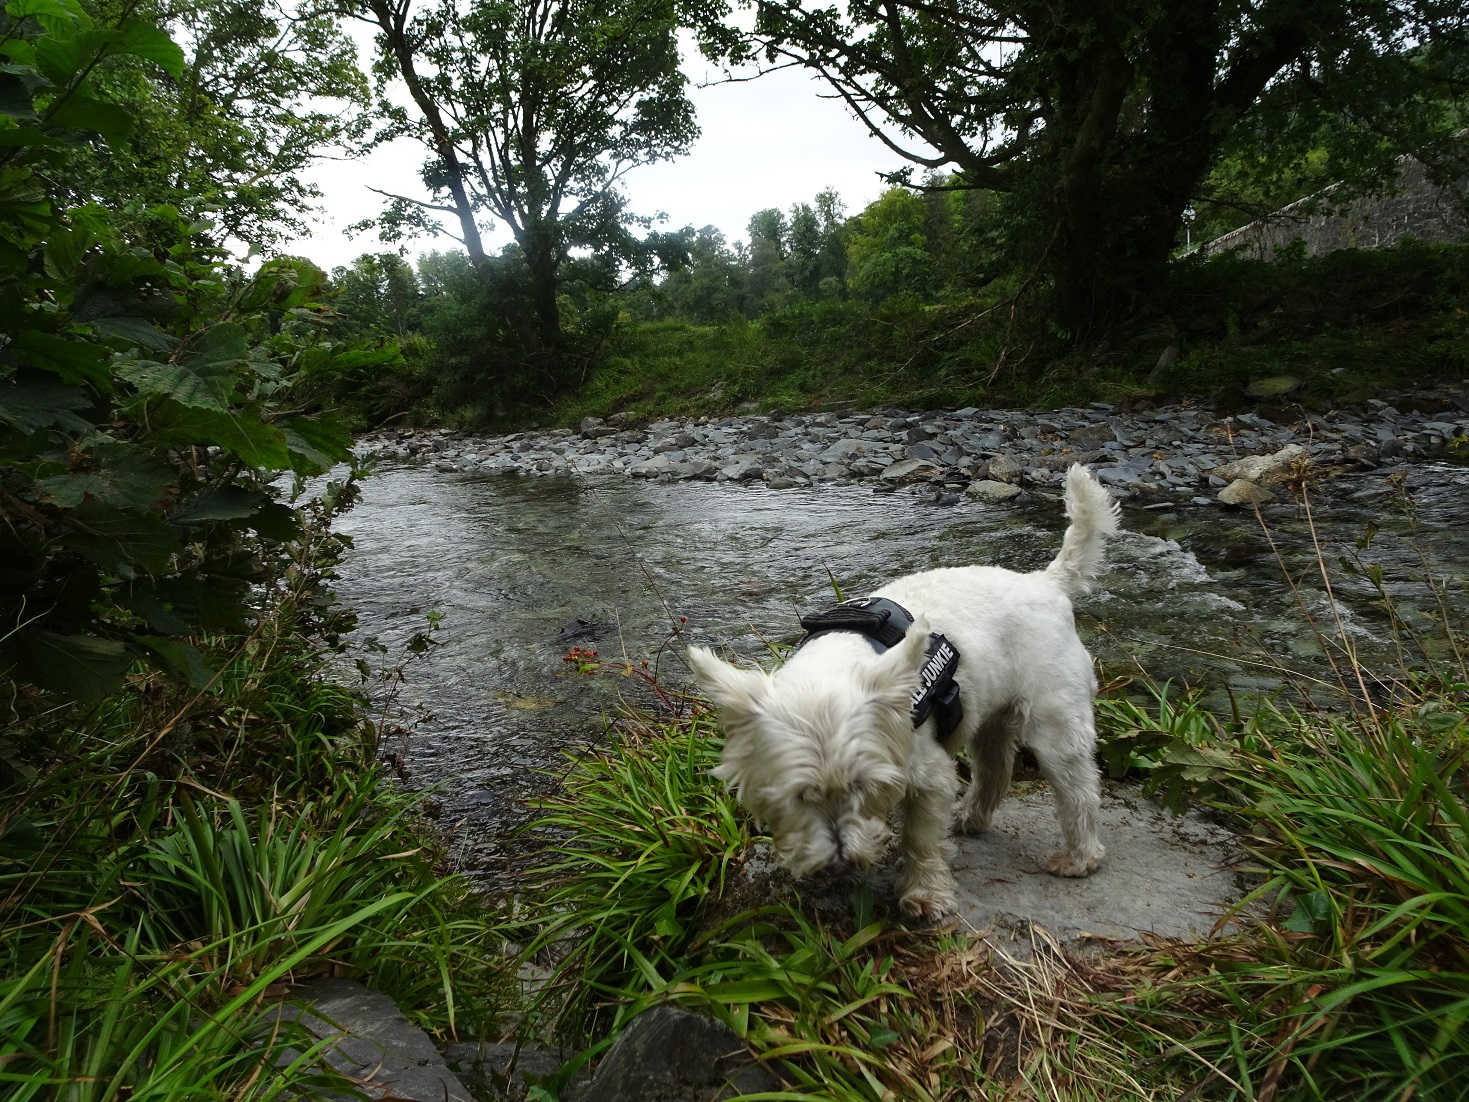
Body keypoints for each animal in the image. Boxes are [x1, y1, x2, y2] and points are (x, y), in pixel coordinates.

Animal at [681, 467, 1116, 922]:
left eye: (863, 787)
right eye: (800, 795)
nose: (841, 861)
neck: (834, 665)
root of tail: (1046, 583)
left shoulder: (926, 770)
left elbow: (919, 838)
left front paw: (925, 894)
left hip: (1055, 718)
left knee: (1077, 786)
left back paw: (1079, 857)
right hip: (990, 714)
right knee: (995, 765)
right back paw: (972, 817)